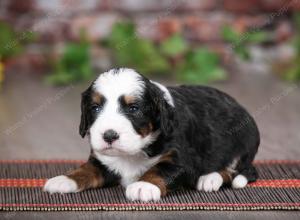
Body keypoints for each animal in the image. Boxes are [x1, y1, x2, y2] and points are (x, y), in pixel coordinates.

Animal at [43, 68, 258, 202]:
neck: (133, 152)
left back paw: (210, 178)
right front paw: (65, 179)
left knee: (234, 169)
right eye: (95, 108)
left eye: (134, 108)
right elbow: (86, 169)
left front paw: (144, 186)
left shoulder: (182, 160)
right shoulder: (102, 160)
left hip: (243, 145)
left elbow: (159, 170)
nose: (109, 136)